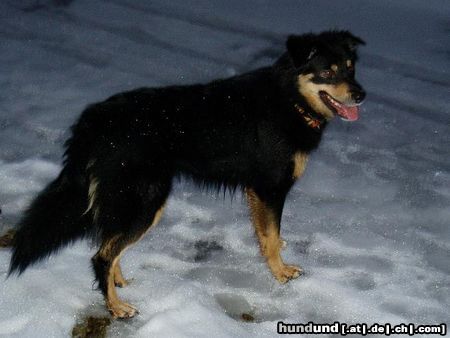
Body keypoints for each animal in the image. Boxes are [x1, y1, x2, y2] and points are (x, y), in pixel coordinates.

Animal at [7, 30, 366, 318]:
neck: (289, 99)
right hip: (146, 202)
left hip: (128, 201)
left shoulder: (257, 191)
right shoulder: (271, 188)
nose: (361, 95)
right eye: (326, 72)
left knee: (109, 245)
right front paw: (280, 273)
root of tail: (93, 121)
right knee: (101, 255)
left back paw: (118, 282)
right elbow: (272, 236)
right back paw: (116, 307)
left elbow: (267, 237)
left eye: (350, 68)